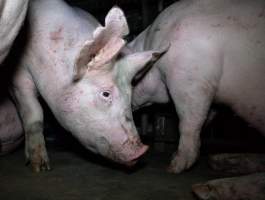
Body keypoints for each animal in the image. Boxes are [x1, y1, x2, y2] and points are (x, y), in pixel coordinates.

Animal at [9, 0, 165, 172]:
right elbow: (34, 116)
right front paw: (40, 166)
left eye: (129, 95)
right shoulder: (19, 77)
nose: (142, 150)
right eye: (105, 93)